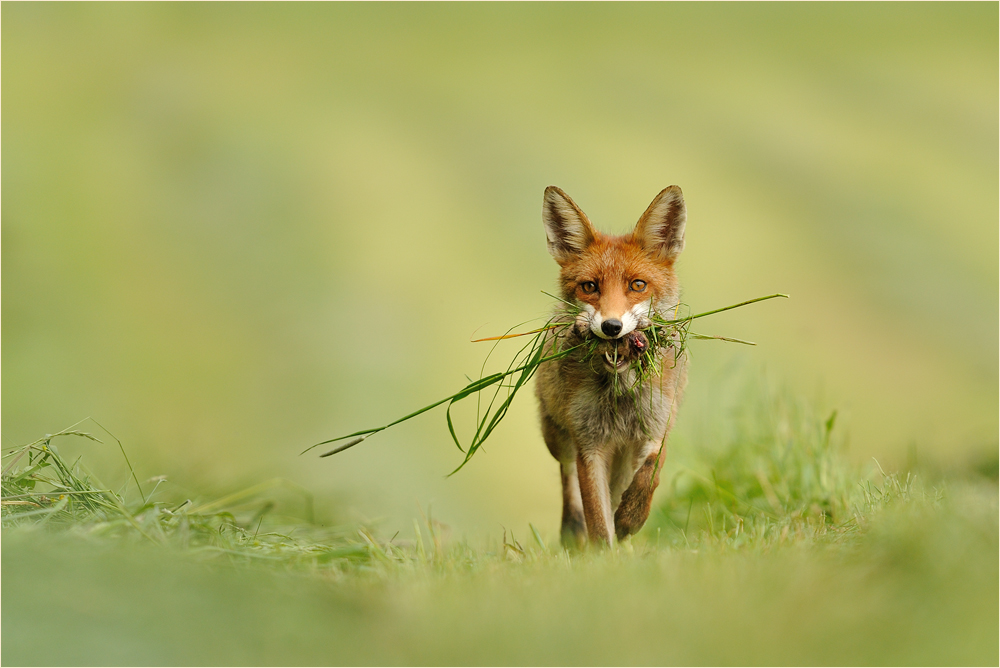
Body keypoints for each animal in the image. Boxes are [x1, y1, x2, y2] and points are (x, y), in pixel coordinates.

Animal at [536, 185, 692, 544]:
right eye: (589, 287)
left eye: (638, 285)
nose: (611, 327)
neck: (621, 393)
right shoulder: (589, 443)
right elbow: (597, 520)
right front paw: (604, 551)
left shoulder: (656, 426)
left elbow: (650, 472)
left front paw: (630, 519)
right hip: (557, 437)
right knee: (568, 481)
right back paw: (573, 533)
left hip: (621, 458)